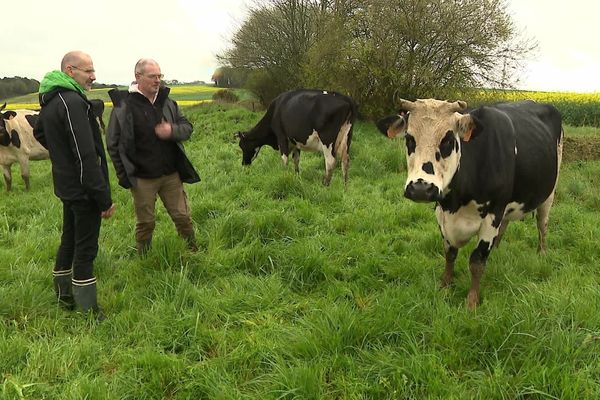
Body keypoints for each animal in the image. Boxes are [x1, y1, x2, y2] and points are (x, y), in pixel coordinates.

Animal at [380, 99, 564, 310]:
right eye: (410, 139)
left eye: (448, 140)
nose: (420, 188)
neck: (456, 203)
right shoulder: (442, 216)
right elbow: (449, 254)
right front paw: (445, 286)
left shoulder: (493, 214)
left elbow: (477, 262)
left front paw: (472, 301)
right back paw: (497, 250)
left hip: (549, 193)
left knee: (542, 225)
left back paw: (542, 252)